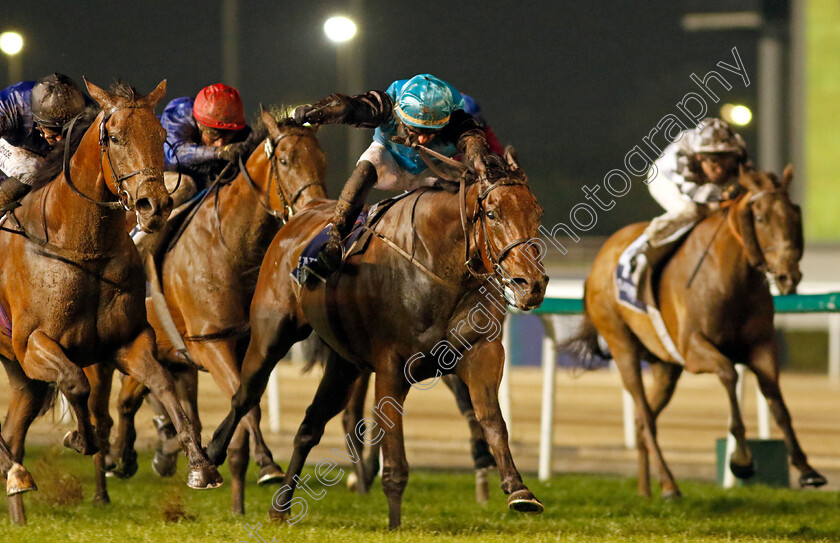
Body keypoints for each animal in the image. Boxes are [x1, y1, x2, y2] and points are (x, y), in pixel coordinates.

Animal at [0, 78, 223, 524]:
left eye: (160, 135)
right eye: (115, 137)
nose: (154, 206)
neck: (83, 246)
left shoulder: (129, 341)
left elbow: (164, 385)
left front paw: (200, 466)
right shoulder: (33, 344)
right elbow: (76, 383)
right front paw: (78, 438)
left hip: (20, 375)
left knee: (13, 430)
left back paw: (17, 489)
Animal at [103, 111, 326, 516]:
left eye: (323, 159)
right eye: (286, 161)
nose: (314, 208)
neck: (230, 244)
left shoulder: (248, 343)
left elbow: (246, 398)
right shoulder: (211, 341)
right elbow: (246, 402)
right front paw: (266, 464)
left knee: (127, 399)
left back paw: (126, 458)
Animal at [209, 149, 548, 528]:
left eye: (536, 212)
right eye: (492, 213)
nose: (531, 284)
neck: (436, 266)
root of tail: (302, 215)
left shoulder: (481, 353)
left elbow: (491, 421)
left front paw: (519, 490)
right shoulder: (391, 367)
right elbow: (394, 453)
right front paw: (395, 524)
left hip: (344, 364)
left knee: (309, 425)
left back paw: (280, 506)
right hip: (271, 335)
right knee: (244, 395)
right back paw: (210, 460)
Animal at [564, 167, 828, 502]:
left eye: (796, 214)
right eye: (760, 217)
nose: (788, 276)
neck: (732, 278)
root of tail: (598, 261)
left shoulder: (762, 347)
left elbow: (778, 403)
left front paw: (807, 470)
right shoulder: (694, 349)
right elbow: (729, 374)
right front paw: (741, 461)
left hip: (665, 365)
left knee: (642, 418)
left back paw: (646, 489)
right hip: (622, 346)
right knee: (645, 416)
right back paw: (670, 485)